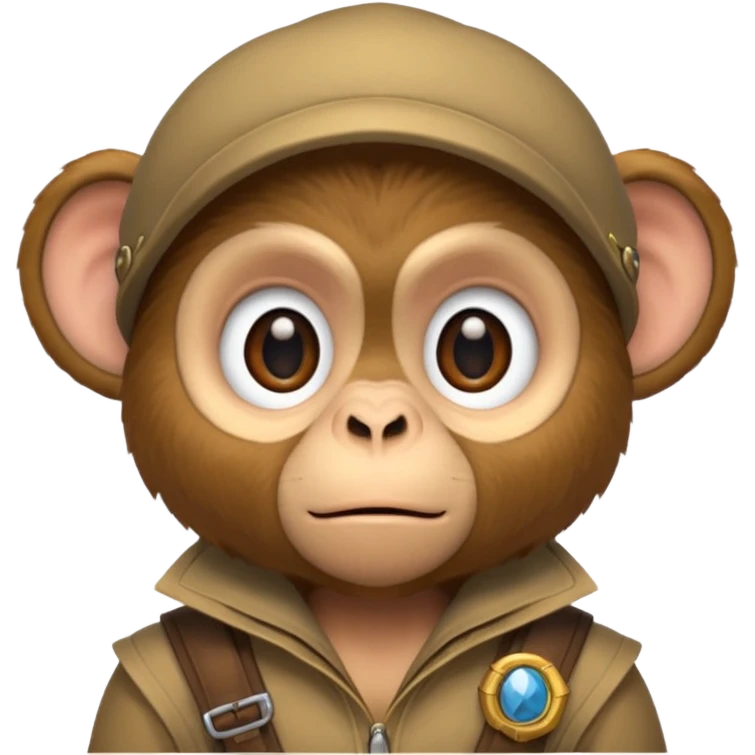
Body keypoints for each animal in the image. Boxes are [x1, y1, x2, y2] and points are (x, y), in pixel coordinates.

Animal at [15, 5, 737, 754]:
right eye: (280, 349)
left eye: (475, 348)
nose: (377, 420)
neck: (378, 620)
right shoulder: (133, 687)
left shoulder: (621, 688)